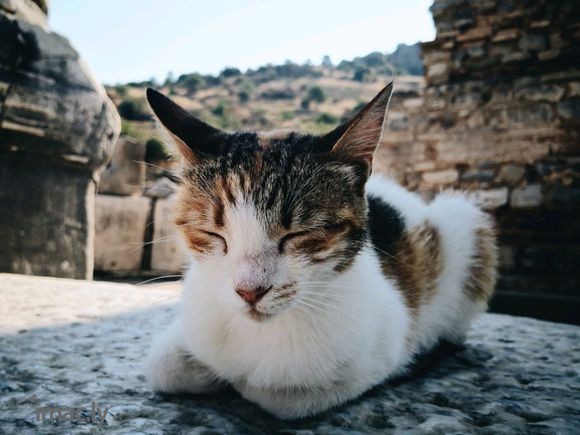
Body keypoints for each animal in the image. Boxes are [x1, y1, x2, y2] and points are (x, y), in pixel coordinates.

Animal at [145, 83, 498, 420]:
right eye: (212, 233)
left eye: (298, 234)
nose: (249, 291)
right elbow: (163, 366)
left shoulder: (381, 349)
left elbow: (279, 395)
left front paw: (235, 382)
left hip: (464, 221)